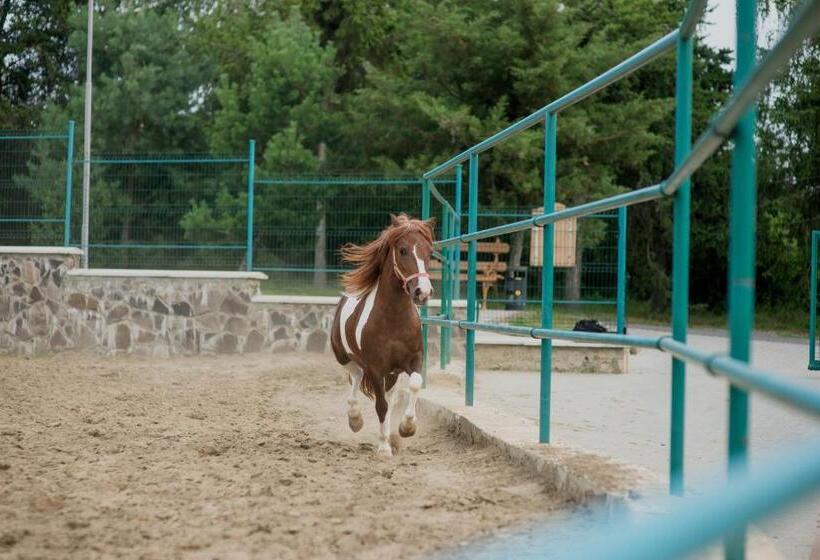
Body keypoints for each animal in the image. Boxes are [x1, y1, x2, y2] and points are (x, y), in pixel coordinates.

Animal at [332, 213, 438, 456]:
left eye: (430, 252)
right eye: (403, 250)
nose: (423, 292)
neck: (394, 320)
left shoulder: (413, 360)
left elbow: (414, 384)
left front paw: (406, 428)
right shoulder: (375, 367)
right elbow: (381, 406)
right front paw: (383, 448)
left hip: (392, 373)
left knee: (389, 395)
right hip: (345, 357)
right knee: (355, 378)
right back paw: (355, 420)